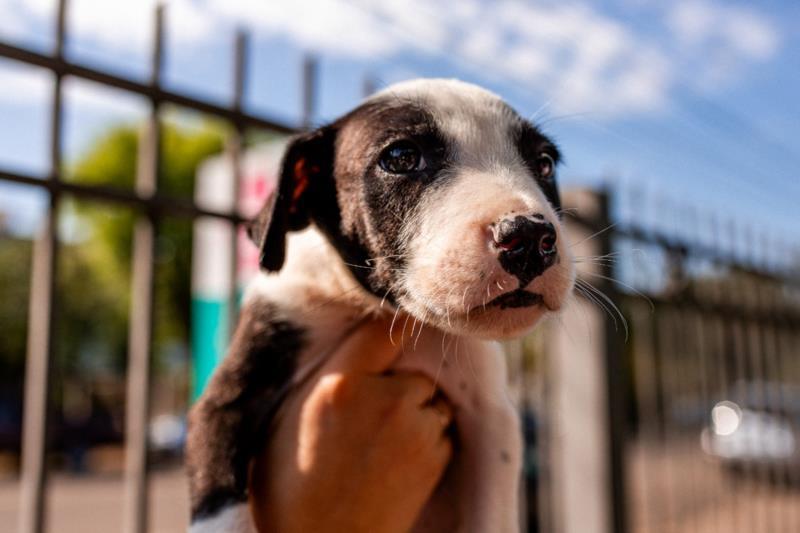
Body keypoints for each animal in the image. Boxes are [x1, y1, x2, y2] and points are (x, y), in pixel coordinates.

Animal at [188, 79, 576, 532]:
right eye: (401, 158)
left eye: (545, 164)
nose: (529, 237)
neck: (380, 310)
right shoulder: (229, 397)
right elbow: (220, 504)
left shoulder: (492, 418)